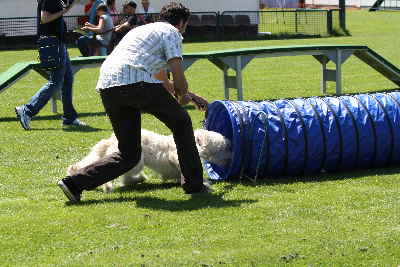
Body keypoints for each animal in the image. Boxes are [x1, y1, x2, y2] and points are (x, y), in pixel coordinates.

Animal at [67, 129, 231, 193]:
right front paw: (205, 185)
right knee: (121, 177)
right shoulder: (176, 158)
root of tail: (111, 140)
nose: (231, 156)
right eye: (222, 147)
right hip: (135, 162)